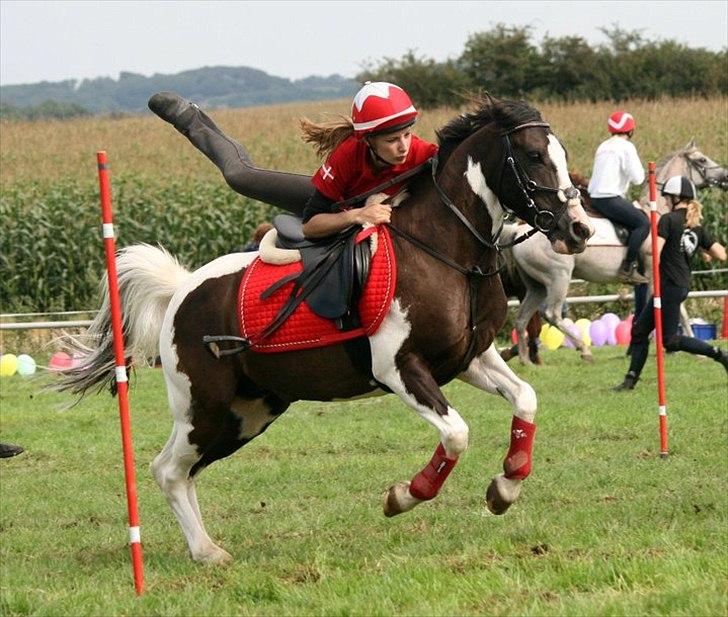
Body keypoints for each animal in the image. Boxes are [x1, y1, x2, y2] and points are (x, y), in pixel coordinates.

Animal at [55, 97, 592, 564]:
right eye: (532, 156)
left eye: (563, 156)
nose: (579, 230)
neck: (444, 250)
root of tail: (181, 289)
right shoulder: (400, 368)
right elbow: (456, 434)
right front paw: (402, 496)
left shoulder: (470, 358)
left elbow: (525, 399)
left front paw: (505, 487)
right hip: (204, 407)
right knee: (167, 470)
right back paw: (207, 554)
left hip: (248, 413)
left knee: (182, 471)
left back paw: (205, 548)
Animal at [508, 141, 728, 364]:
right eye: (702, 160)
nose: (725, 176)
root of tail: (518, 229)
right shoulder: (653, 275)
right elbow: (666, 309)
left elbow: (669, 310)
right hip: (558, 278)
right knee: (551, 314)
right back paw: (583, 349)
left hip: (536, 285)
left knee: (521, 318)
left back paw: (525, 360)